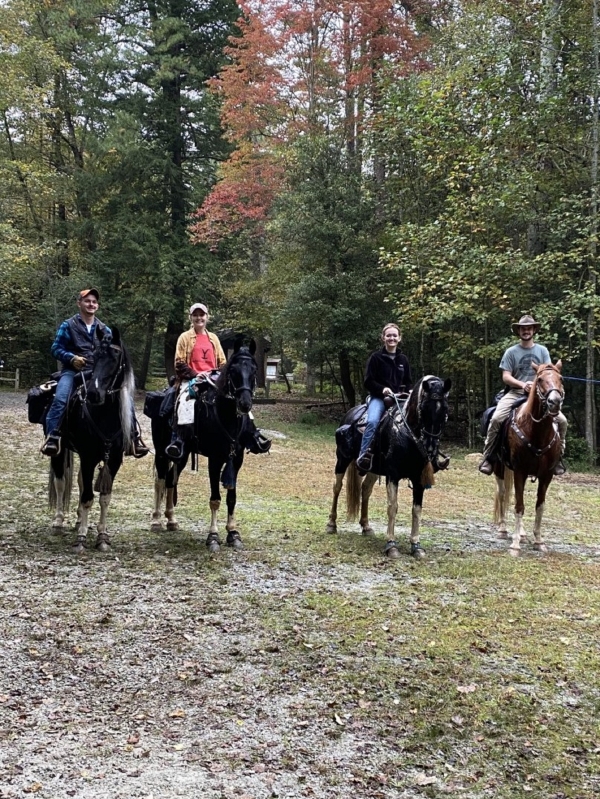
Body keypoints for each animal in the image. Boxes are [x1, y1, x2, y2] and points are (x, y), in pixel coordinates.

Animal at [47, 328, 135, 552]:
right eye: (94, 356)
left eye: (115, 356)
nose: (94, 393)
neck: (105, 417)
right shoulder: (88, 457)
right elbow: (87, 497)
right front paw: (81, 538)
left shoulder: (113, 460)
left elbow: (104, 498)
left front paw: (102, 537)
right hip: (59, 452)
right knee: (61, 483)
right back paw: (58, 522)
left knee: (78, 481)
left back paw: (79, 520)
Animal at [328, 376, 450, 560]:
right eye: (423, 408)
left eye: (444, 410)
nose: (430, 448)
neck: (407, 433)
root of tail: (351, 413)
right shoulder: (393, 475)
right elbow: (392, 507)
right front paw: (391, 545)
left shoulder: (419, 478)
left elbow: (417, 510)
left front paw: (416, 546)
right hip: (342, 460)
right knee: (337, 487)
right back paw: (331, 524)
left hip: (373, 469)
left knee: (366, 489)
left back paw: (366, 526)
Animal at [492, 360, 564, 552]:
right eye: (539, 379)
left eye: (561, 378)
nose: (554, 402)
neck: (537, 432)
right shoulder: (520, 471)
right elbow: (519, 505)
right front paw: (515, 545)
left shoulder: (547, 475)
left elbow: (539, 506)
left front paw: (538, 541)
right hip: (499, 468)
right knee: (502, 493)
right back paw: (503, 529)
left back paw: (523, 534)